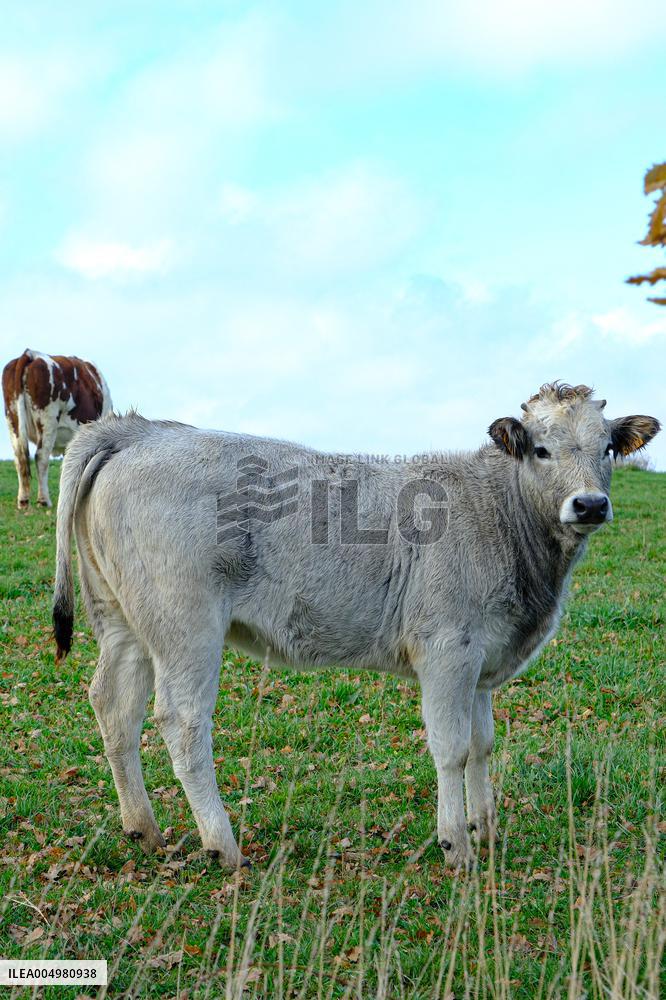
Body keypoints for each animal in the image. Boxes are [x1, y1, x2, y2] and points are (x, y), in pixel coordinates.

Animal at [2, 349, 112, 509]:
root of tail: (31, 354)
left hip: (13, 419)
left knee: (19, 457)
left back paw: (23, 500)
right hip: (48, 421)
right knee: (41, 456)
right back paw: (44, 500)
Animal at [52, 383, 659, 871]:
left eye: (607, 447)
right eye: (541, 449)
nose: (589, 504)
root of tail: (139, 430)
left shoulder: (483, 659)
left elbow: (483, 745)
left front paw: (486, 831)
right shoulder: (446, 650)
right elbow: (452, 748)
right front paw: (456, 845)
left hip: (123, 620)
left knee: (114, 705)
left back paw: (143, 828)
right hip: (186, 625)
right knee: (182, 722)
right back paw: (222, 845)